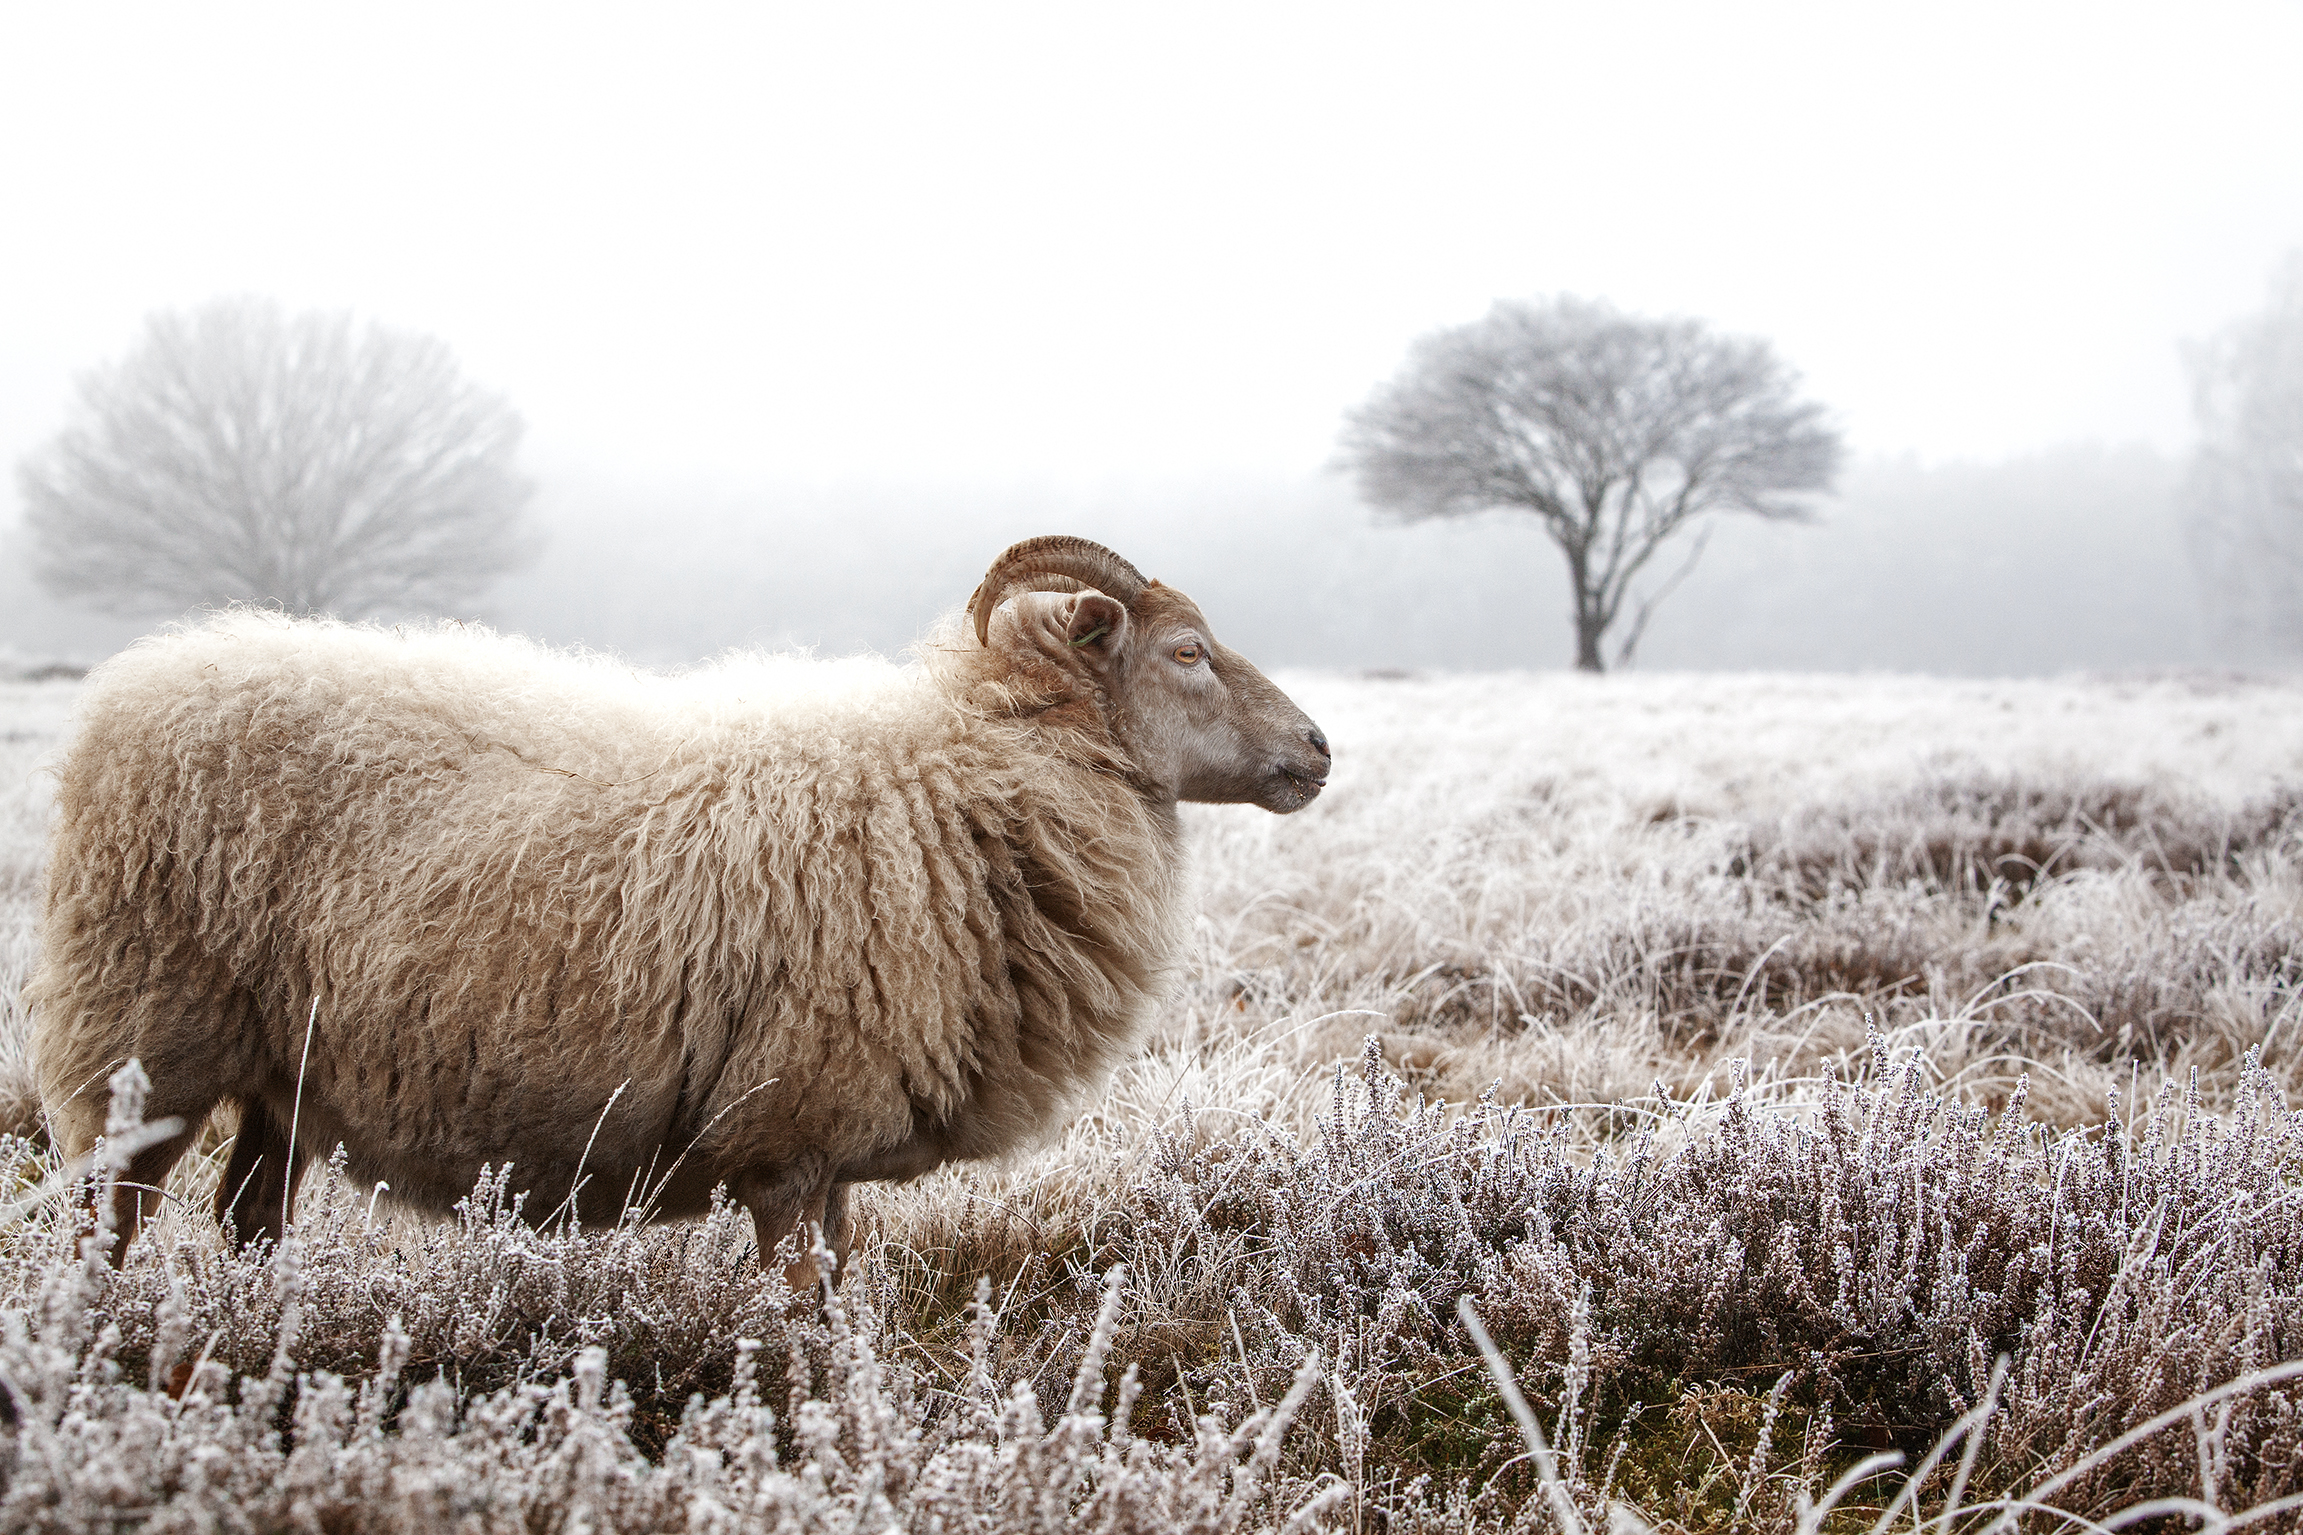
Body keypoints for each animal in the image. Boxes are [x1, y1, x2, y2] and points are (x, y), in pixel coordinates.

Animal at [29, 537, 1330, 1281]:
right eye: (1186, 651)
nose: (1317, 749)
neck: (962, 778)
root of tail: (138, 686)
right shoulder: (791, 1133)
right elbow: (799, 1321)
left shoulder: (826, 1153)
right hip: (143, 1035)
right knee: (108, 1222)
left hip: (281, 1075)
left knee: (248, 1221)